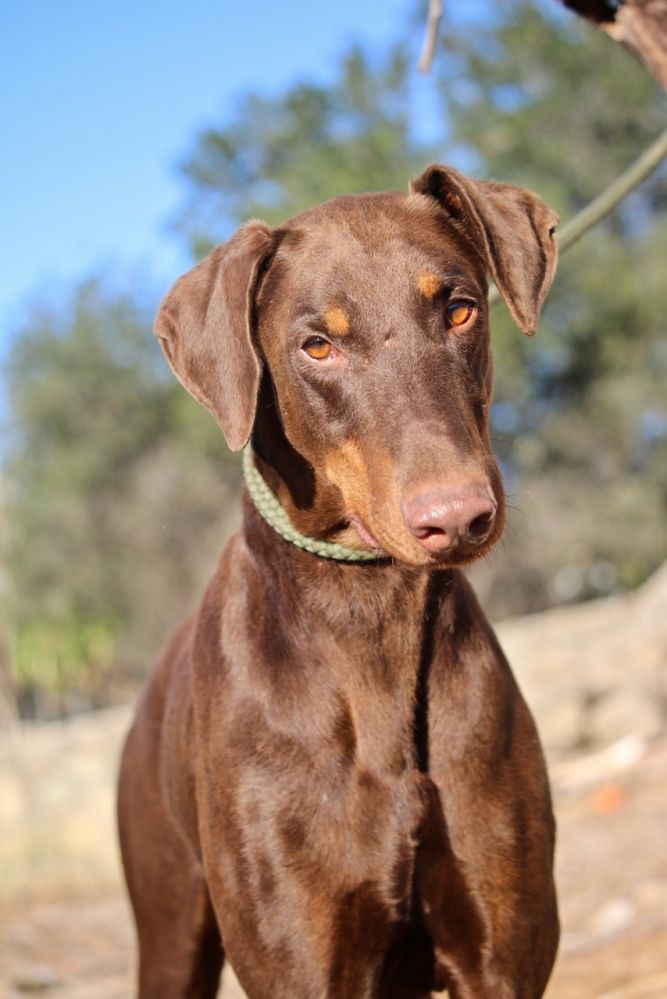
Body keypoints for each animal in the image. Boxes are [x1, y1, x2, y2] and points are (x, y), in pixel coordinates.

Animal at [118, 162, 564, 992]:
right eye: (317, 345)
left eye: (458, 308)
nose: (457, 515)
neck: (371, 619)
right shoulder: (300, 962)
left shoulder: (502, 956)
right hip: (167, 926)